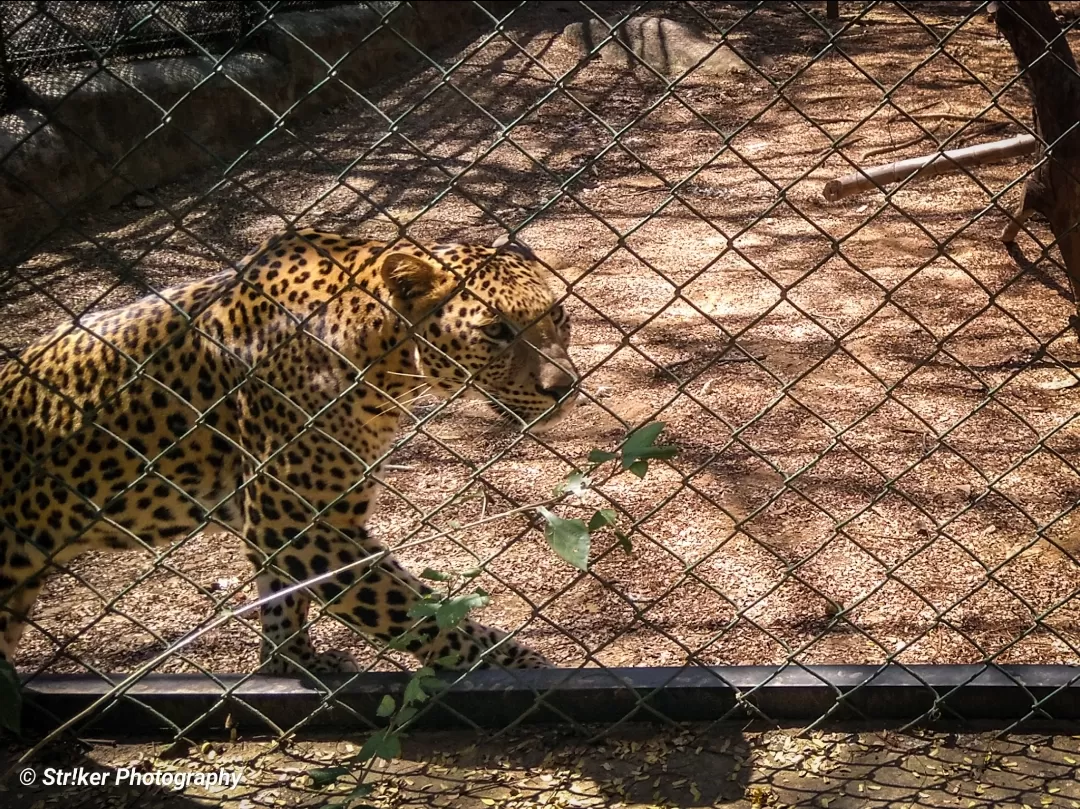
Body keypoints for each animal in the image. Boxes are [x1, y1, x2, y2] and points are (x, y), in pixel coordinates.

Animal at [0, 226, 578, 673]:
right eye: (496, 331)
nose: (565, 387)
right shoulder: (305, 524)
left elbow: (283, 597)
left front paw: (292, 663)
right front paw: (520, 668)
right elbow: (414, 611)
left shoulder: (283, 523)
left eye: (560, 317)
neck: (382, 357)